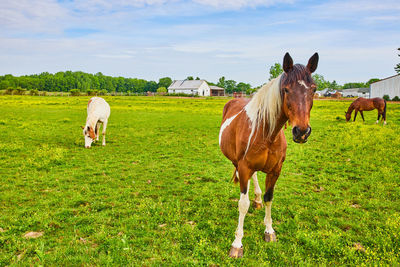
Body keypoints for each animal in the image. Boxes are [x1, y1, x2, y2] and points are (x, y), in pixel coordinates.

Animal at [219, 51, 318, 258]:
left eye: (314, 89)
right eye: (286, 89)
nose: (301, 132)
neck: (267, 132)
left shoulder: (275, 171)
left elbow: (269, 198)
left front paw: (269, 231)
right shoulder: (244, 167)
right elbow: (242, 204)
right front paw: (237, 243)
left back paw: (256, 199)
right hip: (236, 163)